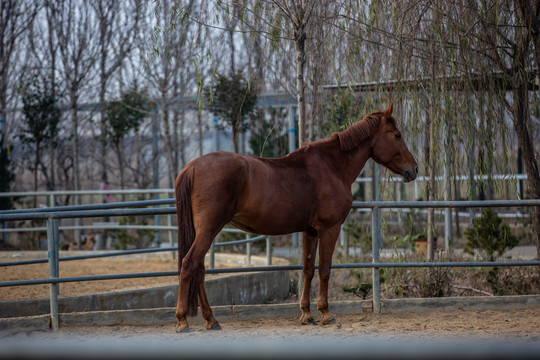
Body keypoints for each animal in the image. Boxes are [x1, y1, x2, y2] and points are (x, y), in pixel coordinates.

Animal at [175, 103, 420, 332]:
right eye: (397, 135)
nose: (415, 169)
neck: (333, 165)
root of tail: (192, 167)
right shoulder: (330, 229)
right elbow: (325, 270)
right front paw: (326, 314)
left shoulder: (310, 231)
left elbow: (308, 270)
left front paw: (306, 315)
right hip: (209, 229)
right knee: (189, 264)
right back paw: (182, 320)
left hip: (205, 231)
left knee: (199, 269)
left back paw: (211, 319)